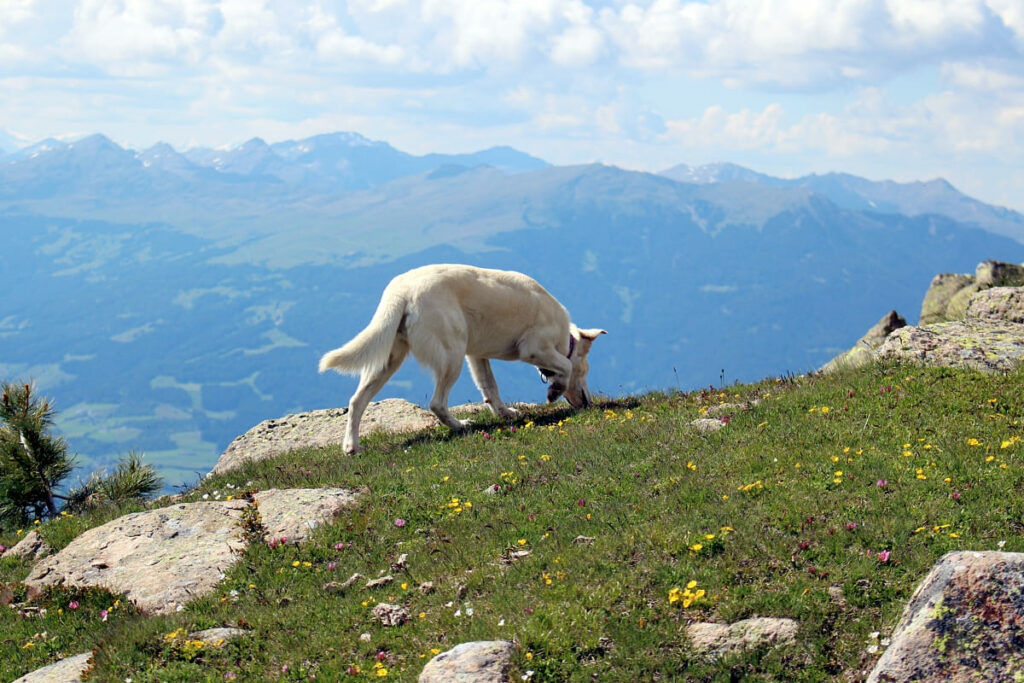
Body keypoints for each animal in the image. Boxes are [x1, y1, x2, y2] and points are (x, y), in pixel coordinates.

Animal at [319, 266, 602, 454]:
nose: (590, 403)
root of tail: (402, 292)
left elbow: (490, 388)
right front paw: (554, 390)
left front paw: (505, 413)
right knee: (436, 403)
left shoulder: (477, 356)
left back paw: (351, 447)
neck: (565, 338)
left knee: (356, 401)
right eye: (586, 371)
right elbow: (565, 366)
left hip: (387, 360)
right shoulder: (533, 349)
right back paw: (460, 426)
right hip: (451, 357)